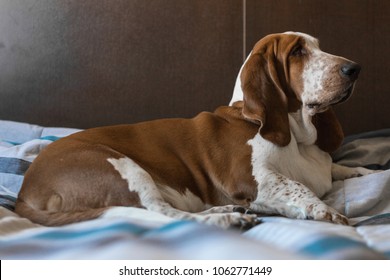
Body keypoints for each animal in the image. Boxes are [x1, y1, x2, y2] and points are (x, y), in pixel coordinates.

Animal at [15, 31, 374, 229]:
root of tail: (24, 194)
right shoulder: (252, 179)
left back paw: (226, 209)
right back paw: (227, 219)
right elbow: (299, 188)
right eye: (298, 52)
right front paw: (326, 211)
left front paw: (362, 171)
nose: (354, 69)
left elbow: (339, 169)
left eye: (318, 47)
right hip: (120, 167)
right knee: (160, 215)